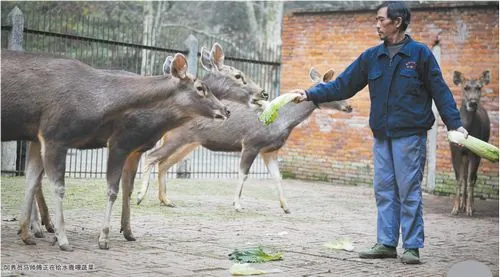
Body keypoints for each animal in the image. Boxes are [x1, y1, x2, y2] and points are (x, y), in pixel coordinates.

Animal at [24, 41, 270, 244]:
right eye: (238, 75)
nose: (263, 93)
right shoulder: (124, 141)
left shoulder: (137, 148)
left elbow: (128, 187)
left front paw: (127, 229)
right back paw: (40, 226)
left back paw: (41, 225)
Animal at [136, 67, 352, 213]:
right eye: (333, 87)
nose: (349, 107)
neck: (282, 122)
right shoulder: (251, 143)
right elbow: (243, 174)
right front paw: (237, 204)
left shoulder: (270, 150)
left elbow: (278, 177)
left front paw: (286, 206)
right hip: (178, 138)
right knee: (152, 156)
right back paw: (140, 196)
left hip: (189, 143)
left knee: (163, 163)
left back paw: (166, 200)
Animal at [450, 69, 492, 216]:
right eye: (466, 87)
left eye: (479, 87)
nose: (473, 102)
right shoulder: (454, 152)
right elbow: (459, 179)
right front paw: (455, 208)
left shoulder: (475, 153)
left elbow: (469, 180)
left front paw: (469, 209)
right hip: (464, 156)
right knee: (465, 176)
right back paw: (462, 205)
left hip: (475, 154)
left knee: (473, 177)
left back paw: (470, 206)